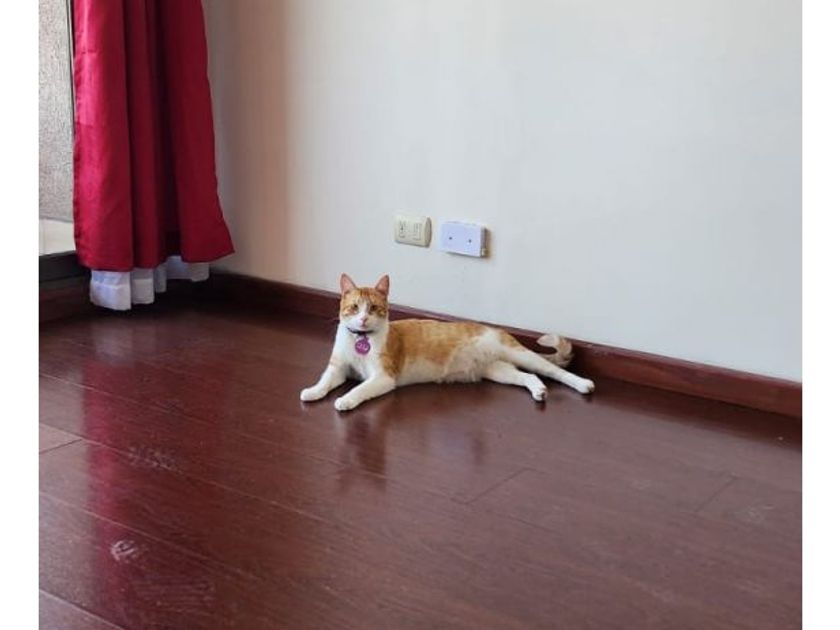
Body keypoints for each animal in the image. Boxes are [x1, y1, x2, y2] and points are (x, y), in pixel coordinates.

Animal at [300, 274, 595, 411]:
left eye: (373, 308)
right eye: (354, 308)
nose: (362, 319)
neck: (360, 340)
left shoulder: (383, 377)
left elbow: (359, 389)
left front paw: (345, 400)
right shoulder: (338, 368)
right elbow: (325, 381)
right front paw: (312, 392)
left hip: (519, 354)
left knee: (554, 371)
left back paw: (583, 384)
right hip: (499, 371)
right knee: (529, 377)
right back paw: (539, 391)